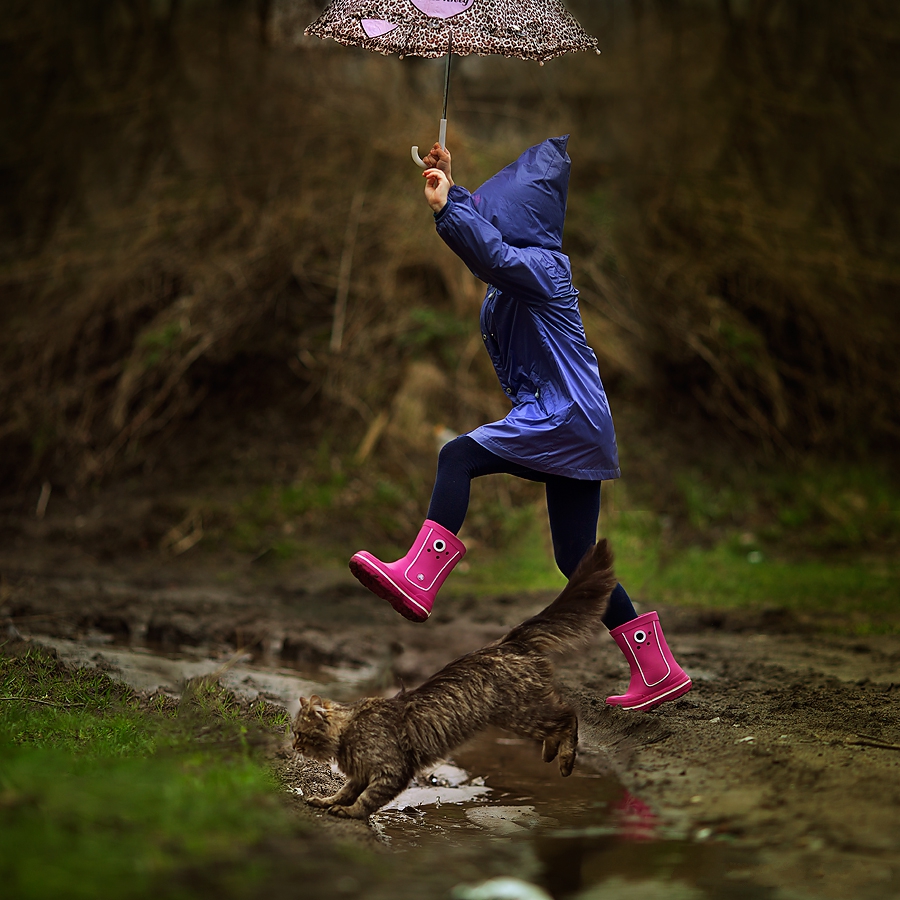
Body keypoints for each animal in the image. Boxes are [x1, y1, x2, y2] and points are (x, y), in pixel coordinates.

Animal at [292, 536, 616, 820]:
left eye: (299, 734)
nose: (294, 747)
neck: (348, 731)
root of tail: (508, 641)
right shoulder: (362, 774)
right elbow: (345, 791)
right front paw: (326, 801)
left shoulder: (391, 771)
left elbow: (365, 800)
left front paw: (348, 813)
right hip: (521, 713)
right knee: (559, 718)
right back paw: (550, 752)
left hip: (522, 712)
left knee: (569, 715)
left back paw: (565, 760)